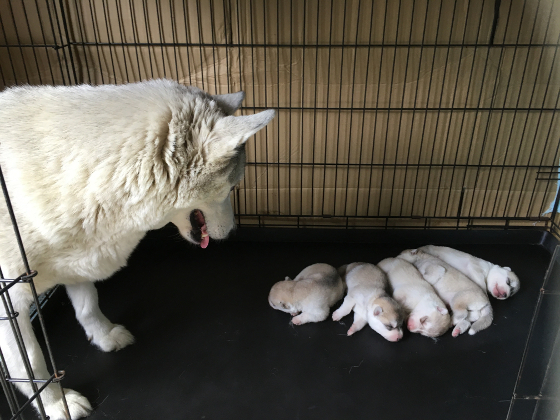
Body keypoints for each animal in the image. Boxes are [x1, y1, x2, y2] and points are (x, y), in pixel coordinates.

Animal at [0, 80, 276, 418]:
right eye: (233, 186)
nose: (235, 231)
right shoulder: (9, 304)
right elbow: (32, 363)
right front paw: (55, 401)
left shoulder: (79, 258)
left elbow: (88, 306)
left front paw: (104, 335)